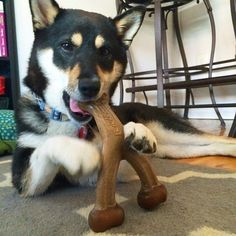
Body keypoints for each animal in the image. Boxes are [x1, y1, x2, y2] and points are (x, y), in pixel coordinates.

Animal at [12, 0, 236, 196]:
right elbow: (47, 146)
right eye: (67, 46)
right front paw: (80, 152)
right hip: (171, 149)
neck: (70, 121)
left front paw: (135, 130)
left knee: (217, 139)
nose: (90, 87)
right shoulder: (24, 177)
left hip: (169, 131)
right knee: (212, 146)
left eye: (105, 51)